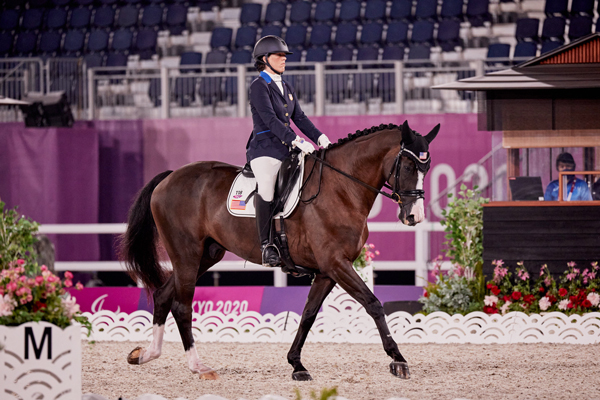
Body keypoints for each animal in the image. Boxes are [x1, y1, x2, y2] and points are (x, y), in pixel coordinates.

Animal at [120, 119, 440, 382]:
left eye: (426, 168)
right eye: (409, 167)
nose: (414, 217)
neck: (341, 188)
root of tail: (169, 177)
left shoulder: (328, 270)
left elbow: (308, 315)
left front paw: (296, 364)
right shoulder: (337, 263)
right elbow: (373, 303)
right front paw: (398, 360)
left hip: (206, 255)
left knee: (164, 294)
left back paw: (146, 355)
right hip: (186, 253)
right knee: (182, 306)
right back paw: (198, 366)